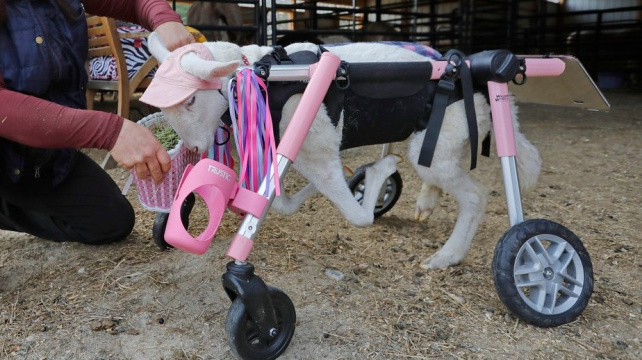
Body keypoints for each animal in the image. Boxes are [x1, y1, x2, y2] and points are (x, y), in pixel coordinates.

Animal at [141, 35, 540, 268]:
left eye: (191, 100)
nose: (195, 149)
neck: (262, 75)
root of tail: (482, 89)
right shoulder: (294, 153)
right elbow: (283, 203)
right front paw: (346, 182)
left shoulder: (317, 149)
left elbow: (357, 216)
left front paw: (378, 171)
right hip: (441, 142)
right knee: (443, 177)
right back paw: (426, 204)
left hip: (441, 141)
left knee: (475, 195)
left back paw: (447, 256)